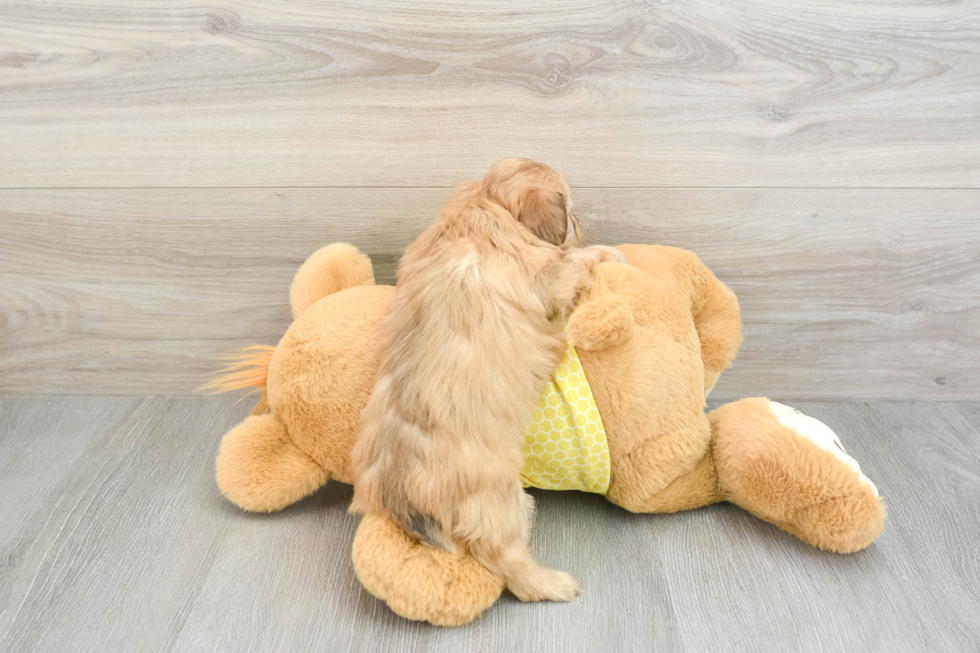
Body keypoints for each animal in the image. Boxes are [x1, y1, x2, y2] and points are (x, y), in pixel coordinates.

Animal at [350, 158, 620, 600]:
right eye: (570, 210)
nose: (580, 223)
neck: (484, 208)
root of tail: (403, 497)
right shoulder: (549, 278)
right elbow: (575, 263)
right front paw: (608, 253)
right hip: (502, 502)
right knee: (506, 562)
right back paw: (552, 583)